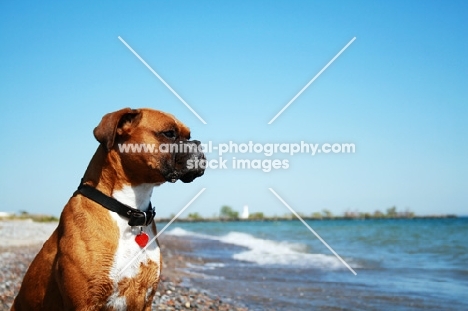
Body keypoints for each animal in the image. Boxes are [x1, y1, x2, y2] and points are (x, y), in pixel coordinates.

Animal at [11, 108, 204, 311]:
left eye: (188, 136)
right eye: (169, 134)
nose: (197, 144)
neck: (127, 210)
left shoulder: (145, 300)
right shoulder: (84, 304)